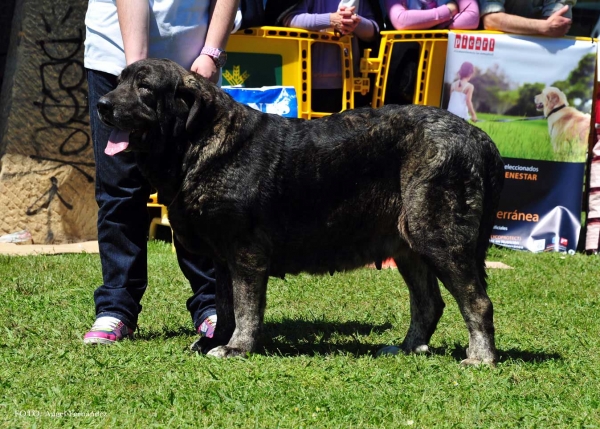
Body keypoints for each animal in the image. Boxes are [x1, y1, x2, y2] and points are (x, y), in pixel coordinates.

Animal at [98, 56, 506, 364]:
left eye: (144, 88)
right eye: (118, 82)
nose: (103, 104)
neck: (197, 140)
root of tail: (480, 138)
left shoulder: (245, 253)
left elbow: (245, 306)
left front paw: (236, 348)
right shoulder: (222, 258)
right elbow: (225, 305)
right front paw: (217, 340)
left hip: (439, 238)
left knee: (477, 302)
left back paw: (480, 357)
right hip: (410, 247)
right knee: (428, 303)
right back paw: (407, 348)